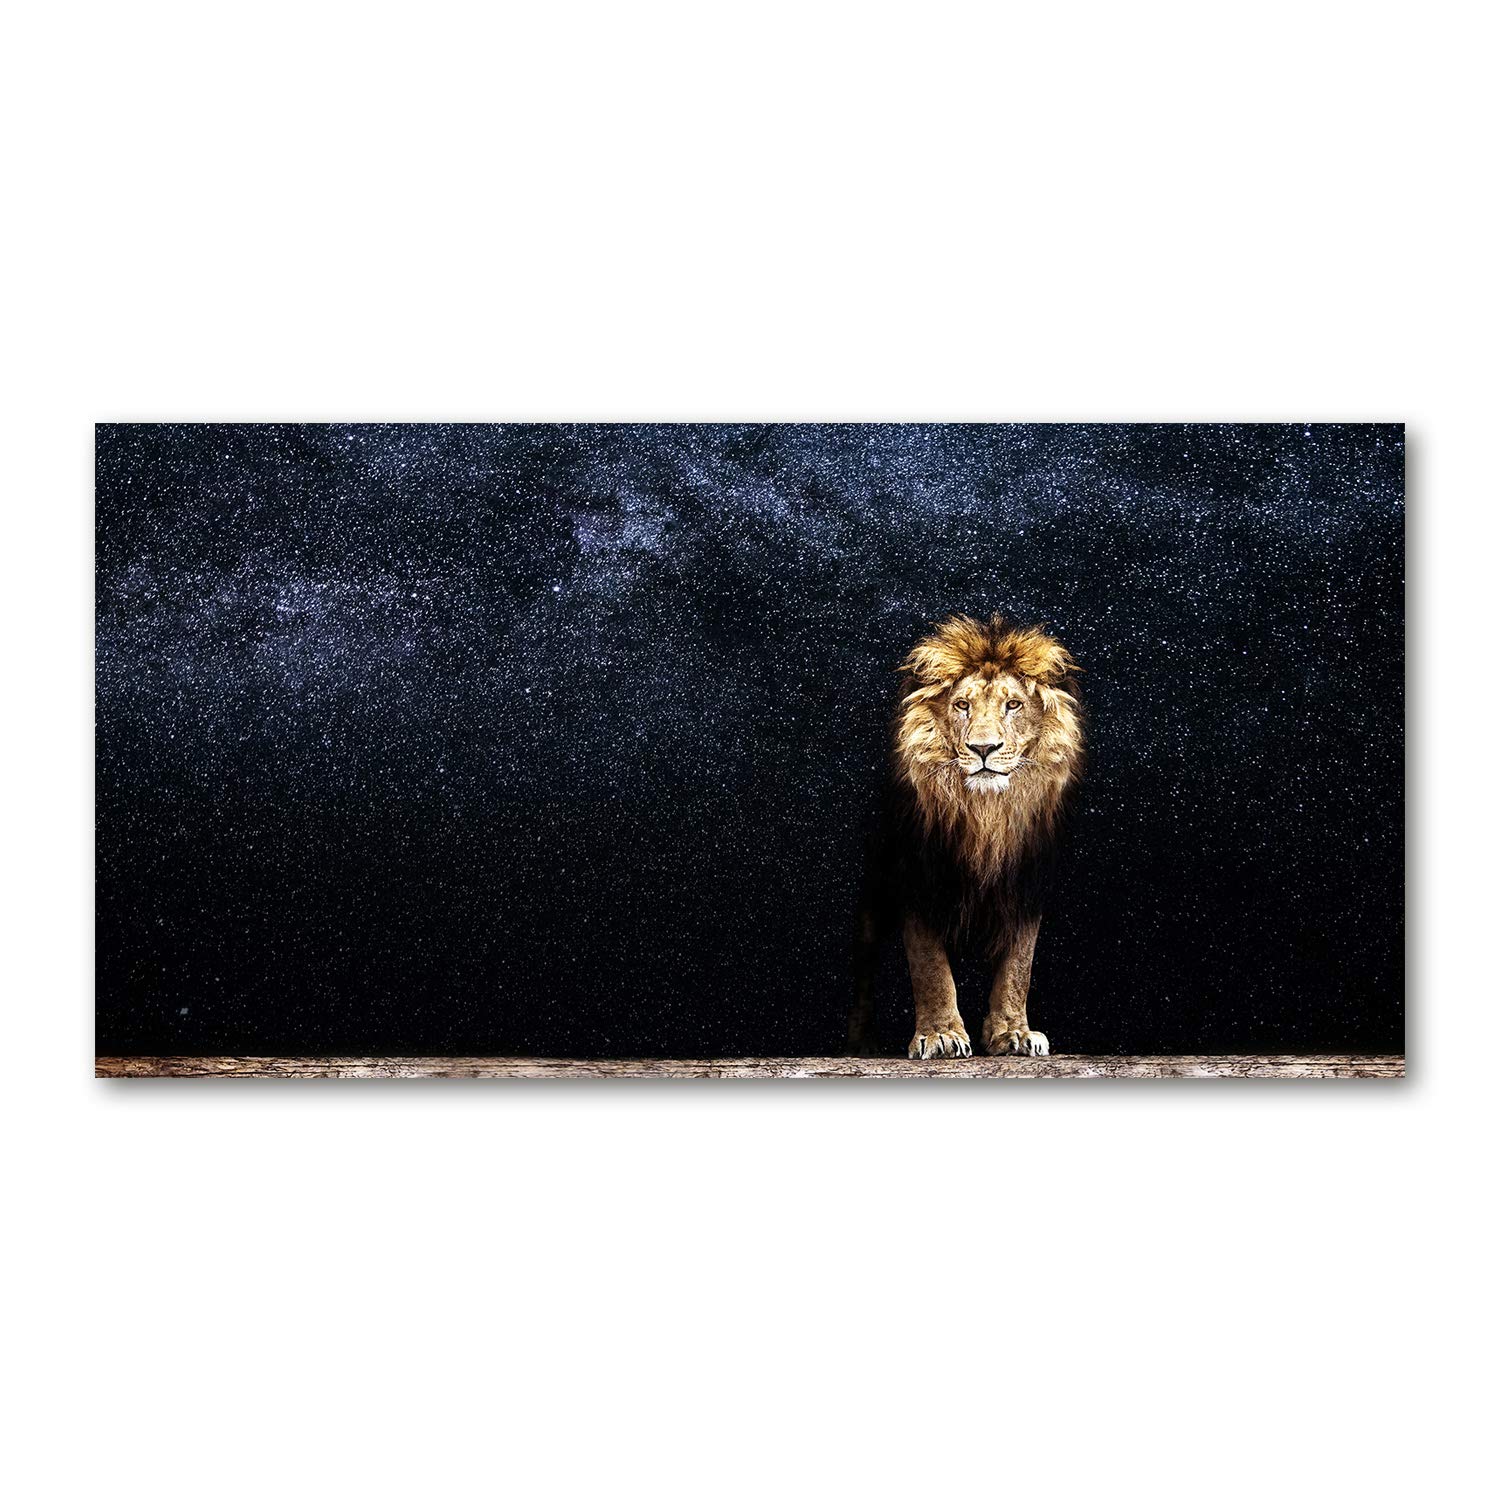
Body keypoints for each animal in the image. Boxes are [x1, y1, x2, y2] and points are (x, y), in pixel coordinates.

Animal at [848, 614, 1084, 1060]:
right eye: (962, 705)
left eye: (1013, 705)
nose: (983, 748)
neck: (985, 815)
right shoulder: (918, 880)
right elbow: (930, 968)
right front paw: (940, 1034)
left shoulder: (1026, 883)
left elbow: (1018, 967)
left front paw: (1013, 1033)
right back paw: (861, 1043)